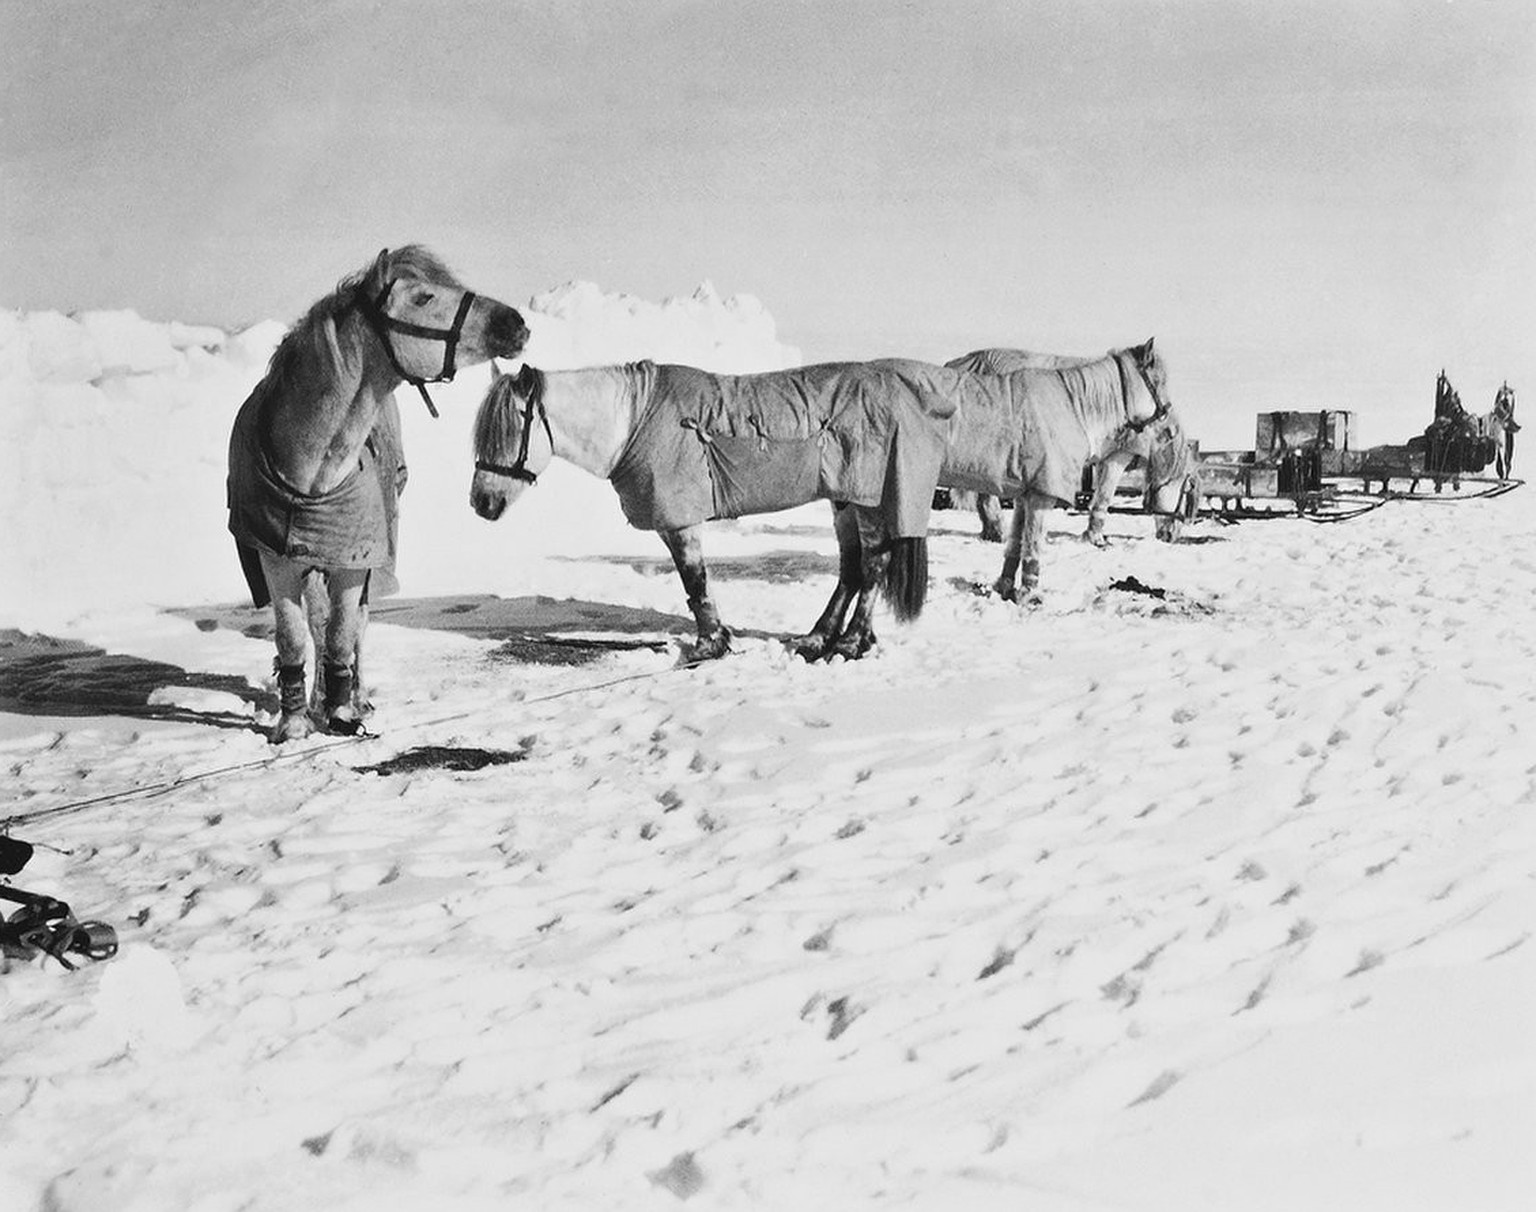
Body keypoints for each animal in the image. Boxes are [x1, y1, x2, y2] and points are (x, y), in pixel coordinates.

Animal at [225, 245, 528, 737]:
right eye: (423, 297)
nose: (515, 322)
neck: (313, 471)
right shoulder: (277, 559)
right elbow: (296, 635)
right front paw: (294, 721)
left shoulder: (356, 561)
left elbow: (343, 631)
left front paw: (342, 710)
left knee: (354, 626)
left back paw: (354, 694)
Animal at [473, 359, 964, 660]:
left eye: (509, 429)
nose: (482, 503)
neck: (635, 422)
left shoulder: (679, 521)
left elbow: (695, 580)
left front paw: (709, 645)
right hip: (844, 500)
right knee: (852, 568)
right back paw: (819, 637)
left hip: (866, 501)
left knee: (874, 566)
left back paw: (850, 642)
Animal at [933, 336, 1198, 599]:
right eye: (1187, 496)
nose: (1172, 537)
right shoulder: (1117, 456)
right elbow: (1103, 497)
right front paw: (1095, 537)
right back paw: (998, 531)